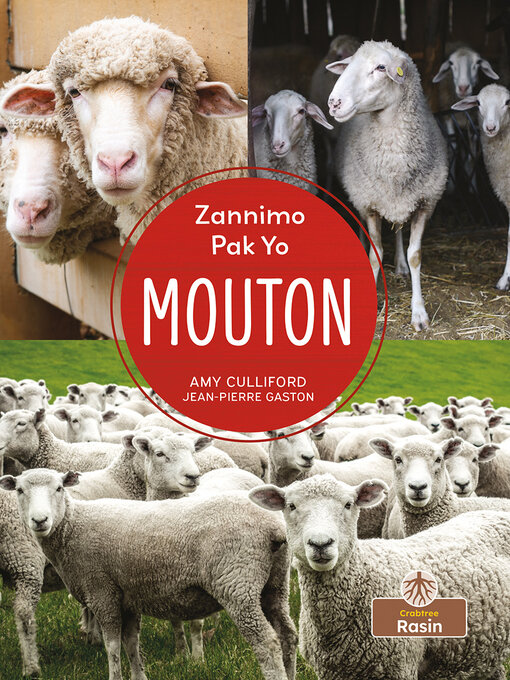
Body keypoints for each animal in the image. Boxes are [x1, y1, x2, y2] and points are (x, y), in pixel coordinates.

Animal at [4, 468, 298, 680]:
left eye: (59, 488)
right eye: (20, 490)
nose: (40, 521)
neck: (73, 525)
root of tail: (273, 527)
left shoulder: (102, 591)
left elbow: (112, 646)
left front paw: (115, 676)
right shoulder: (128, 596)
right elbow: (131, 644)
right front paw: (139, 676)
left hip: (237, 583)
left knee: (267, 642)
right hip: (275, 584)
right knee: (288, 635)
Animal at [250, 475, 510, 680]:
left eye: (348, 504)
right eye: (291, 506)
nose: (321, 544)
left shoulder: (400, 666)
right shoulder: (332, 671)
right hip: (485, 647)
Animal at [328, 41, 448, 330]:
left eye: (381, 68)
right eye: (348, 65)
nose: (334, 103)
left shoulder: (425, 203)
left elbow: (416, 255)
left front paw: (419, 313)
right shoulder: (369, 204)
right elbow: (376, 255)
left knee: (398, 230)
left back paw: (401, 266)